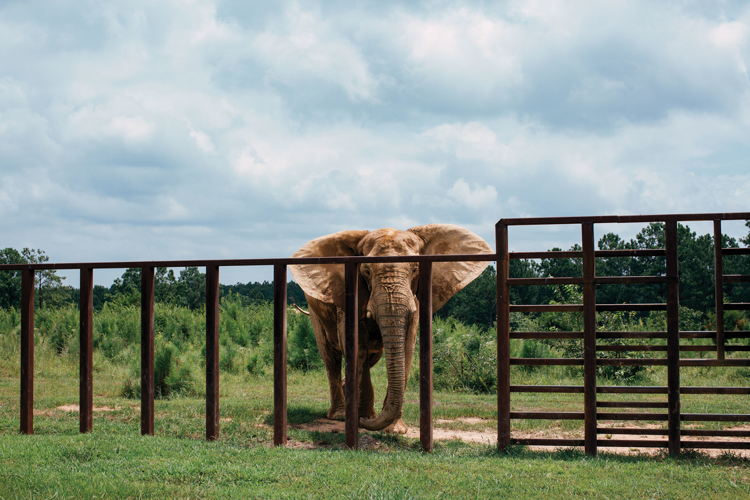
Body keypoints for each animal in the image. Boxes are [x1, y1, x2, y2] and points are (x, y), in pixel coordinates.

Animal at [289, 224, 492, 433]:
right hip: (315, 310)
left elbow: (407, 347)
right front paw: (365, 419)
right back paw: (339, 415)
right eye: (366, 271)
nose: (362, 419)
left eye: (415, 269)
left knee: (370, 357)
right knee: (331, 358)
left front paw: (395, 430)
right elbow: (357, 347)